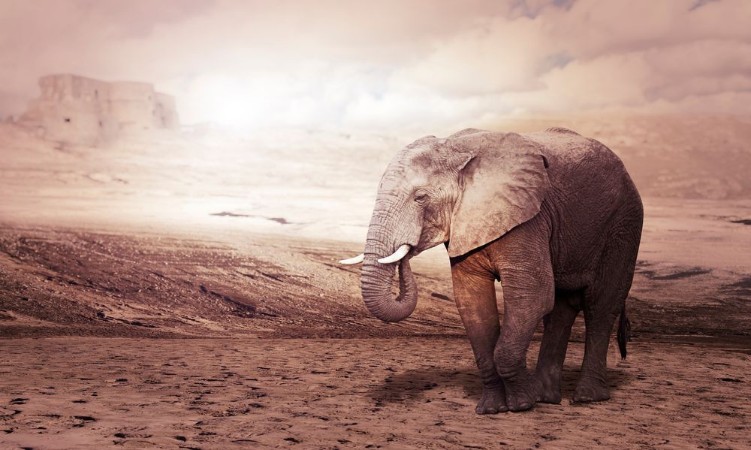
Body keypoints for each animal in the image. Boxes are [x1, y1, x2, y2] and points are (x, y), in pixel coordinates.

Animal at [341, 127, 643, 414]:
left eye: (420, 197)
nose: (406, 251)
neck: (455, 148)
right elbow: (472, 301)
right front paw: (492, 409)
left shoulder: (529, 217)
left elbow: (532, 295)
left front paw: (521, 404)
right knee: (561, 309)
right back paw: (546, 398)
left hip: (624, 225)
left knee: (600, 305)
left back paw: (586, 398)